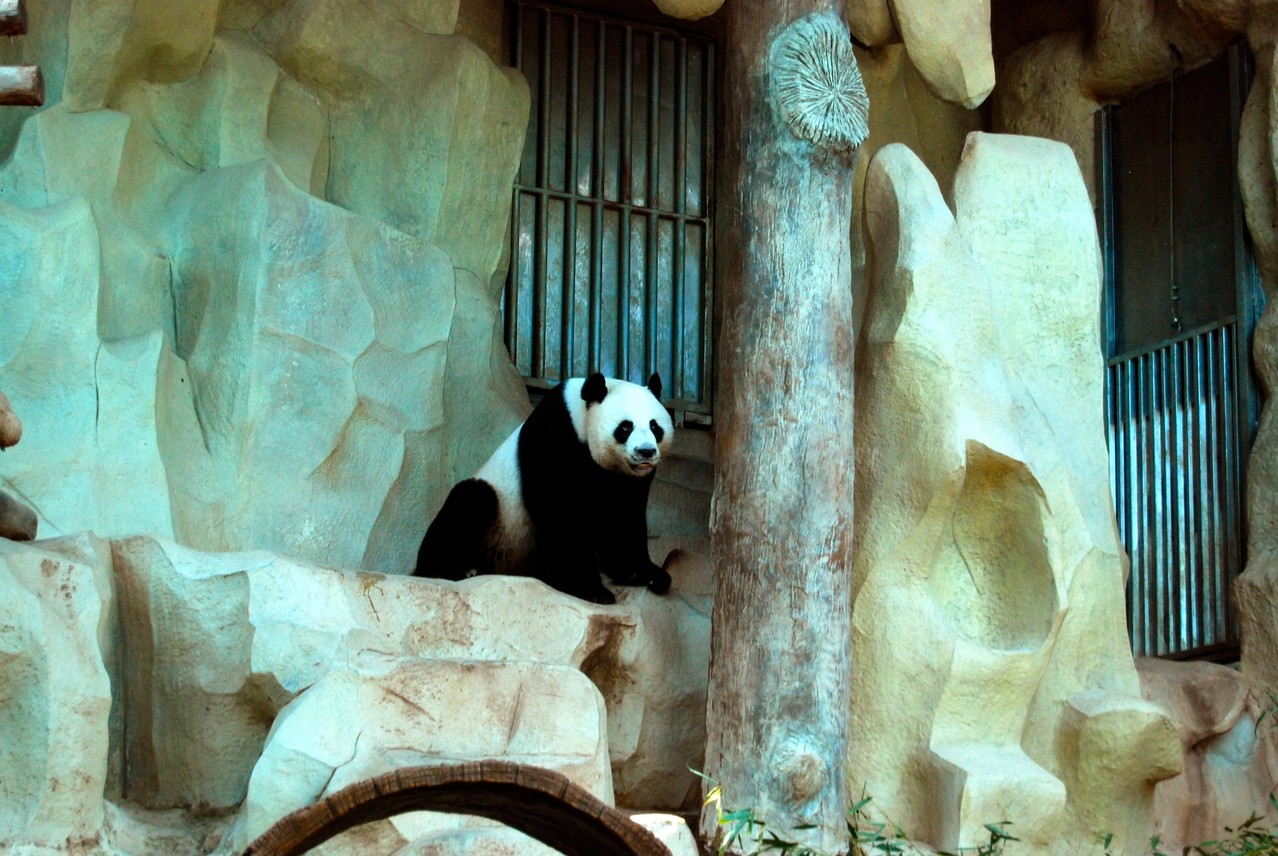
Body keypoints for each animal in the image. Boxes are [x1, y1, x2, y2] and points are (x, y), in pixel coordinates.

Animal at [416, 373, 679, 608]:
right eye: (625, 427)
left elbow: (623, 517)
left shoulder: (624, 479)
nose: (646, 452)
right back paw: (456, 569)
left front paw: (646, 574)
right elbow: (560, 514)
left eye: (655, 426)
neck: (580, 417)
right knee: (470, 501)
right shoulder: (553, 437)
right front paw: (592, 589)